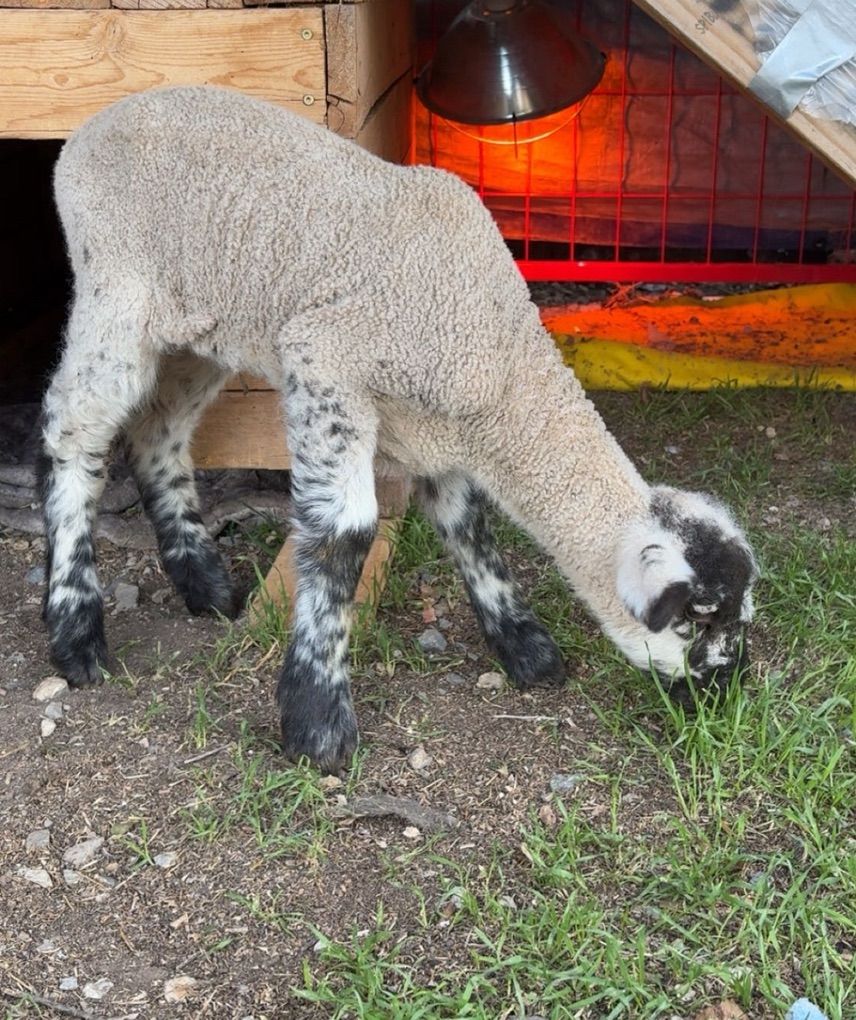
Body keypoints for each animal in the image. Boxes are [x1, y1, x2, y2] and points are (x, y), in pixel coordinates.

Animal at [39, 85, 757, 773]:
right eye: (696, 623)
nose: (728, 693)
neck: (502, 368)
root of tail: (88, 130)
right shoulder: (326, 362)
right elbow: (345, 535)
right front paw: (318, 725)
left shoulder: (438, 432)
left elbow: (468, 525)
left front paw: (525, 649)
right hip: (116, 291)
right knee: (72, 429)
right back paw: (76, 632)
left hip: (203, 326)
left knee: (157, 430)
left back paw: (204, 584)